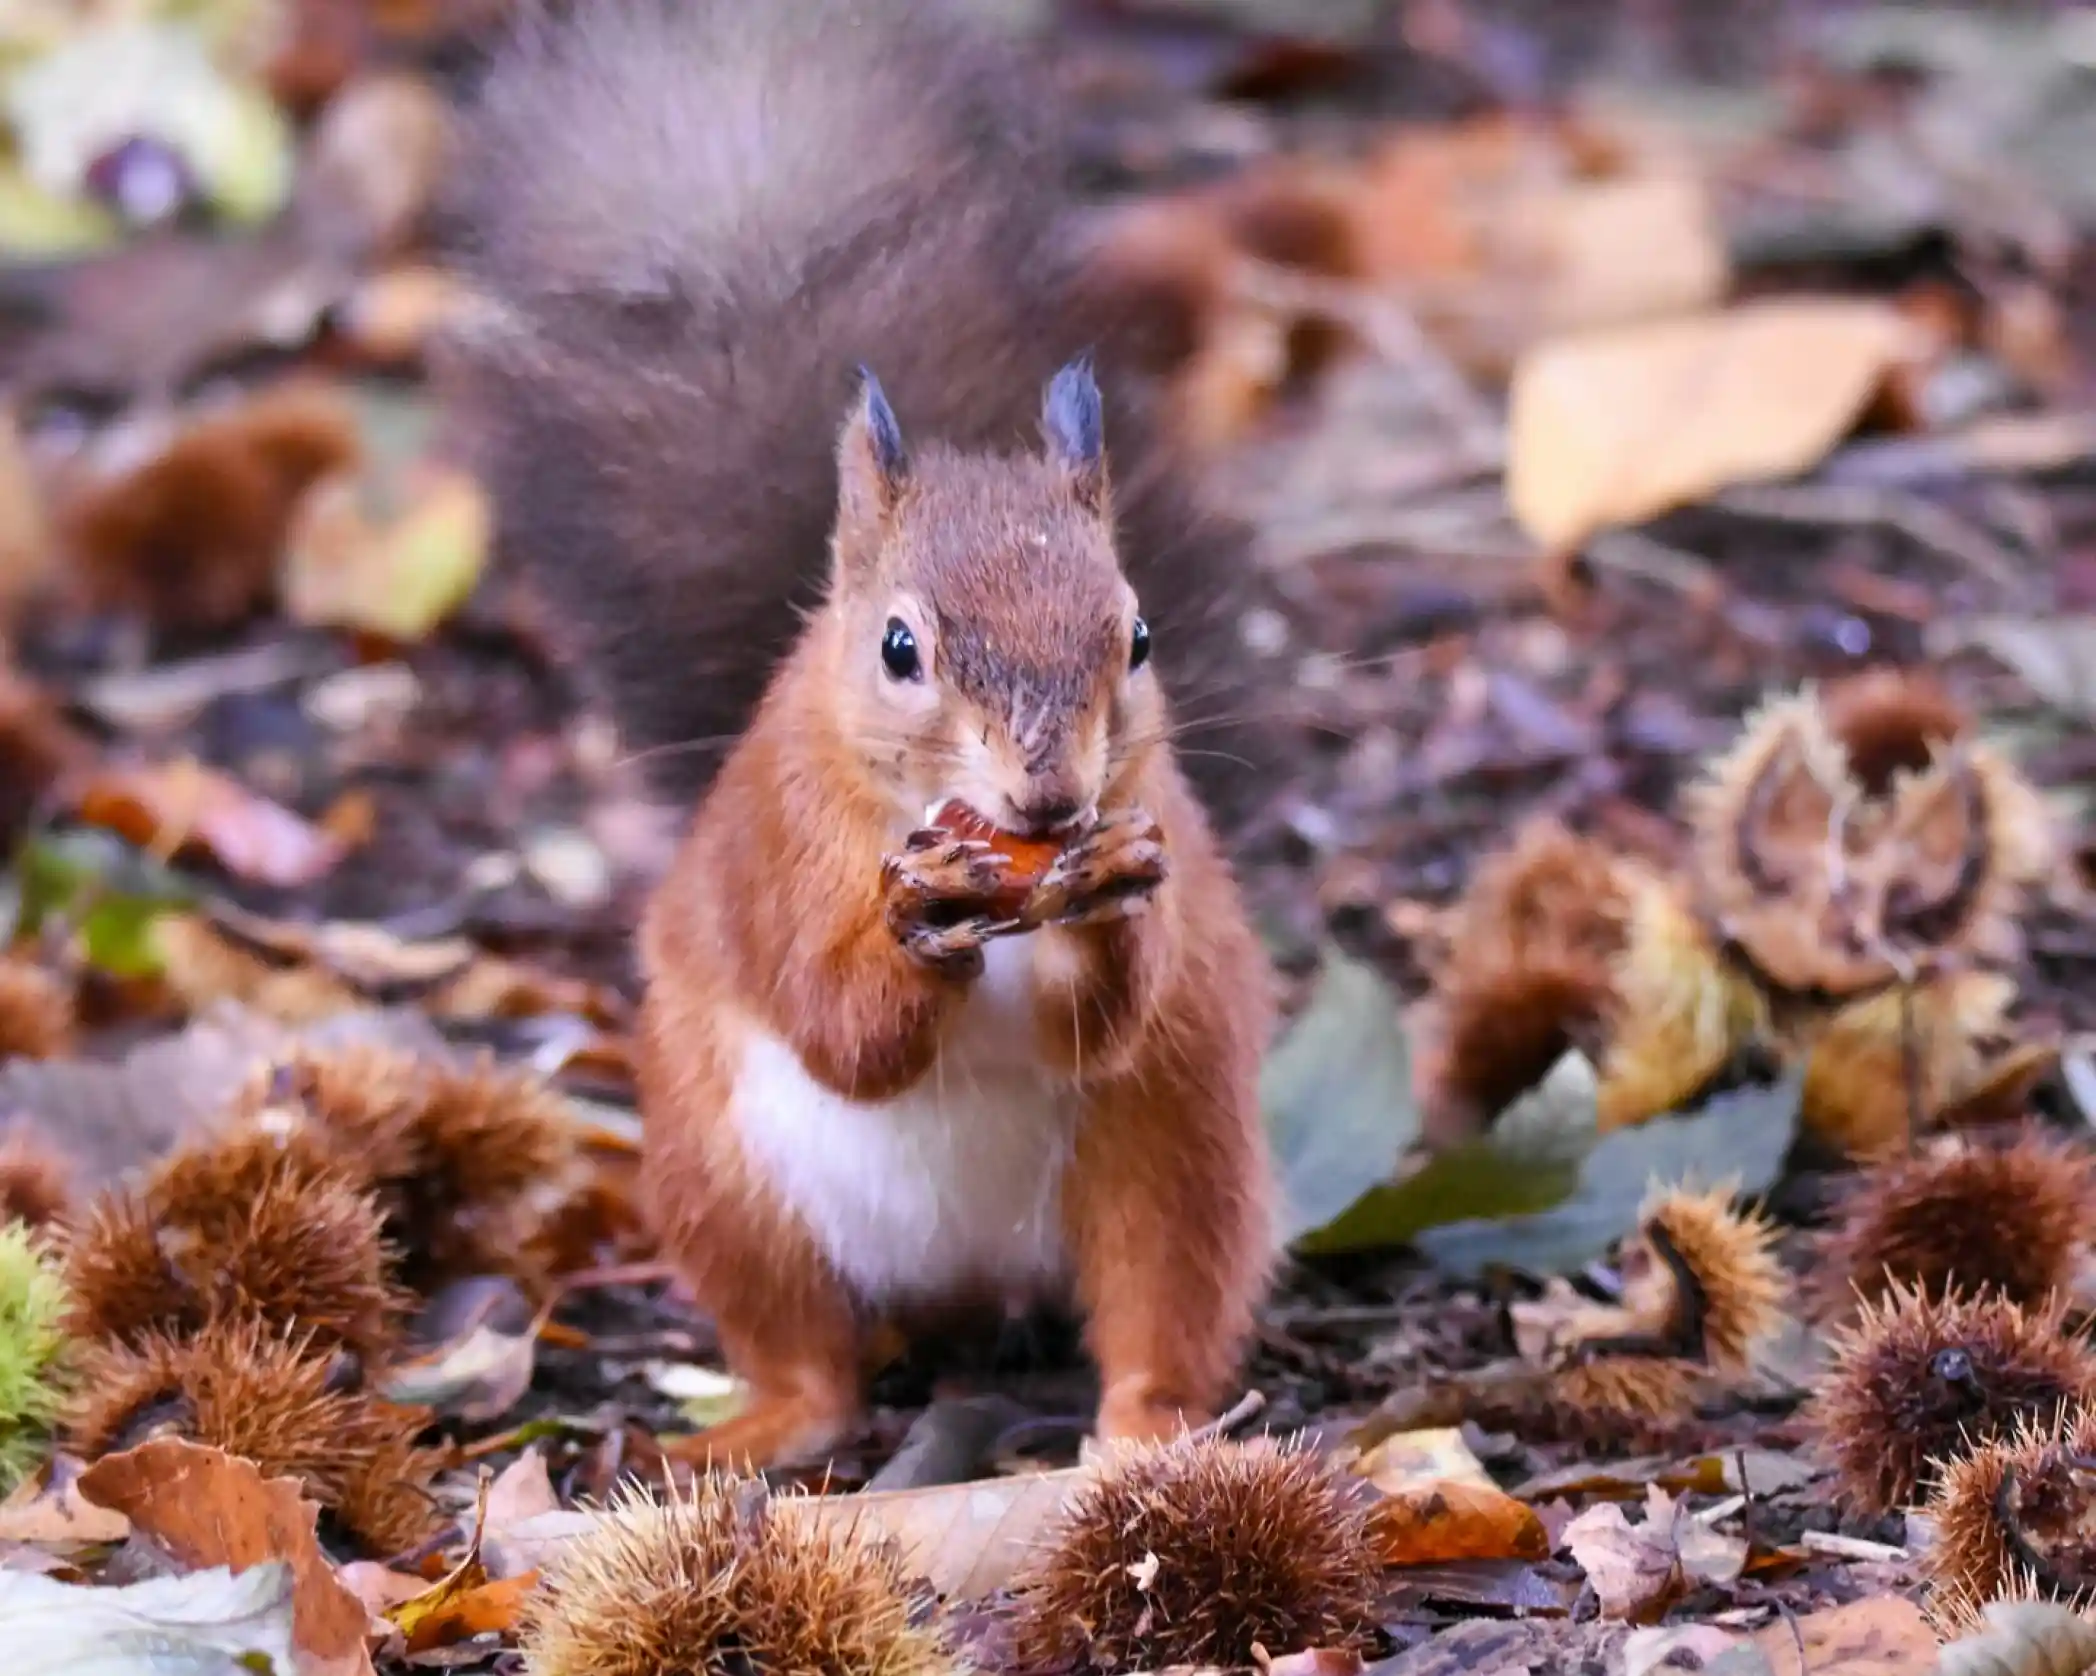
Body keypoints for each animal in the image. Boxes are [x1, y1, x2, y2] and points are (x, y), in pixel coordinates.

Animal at [441, 0, 1278, 1467]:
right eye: (899, 649)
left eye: (1137, 638)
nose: (1050, 801)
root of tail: (968, 1281)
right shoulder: (782, 847)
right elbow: (840, 1026)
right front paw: (914, 924)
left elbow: (1105, 1014)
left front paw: (1112, 890)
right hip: (724, 1182)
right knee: (811, 1365)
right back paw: (748, 1431)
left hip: (1174, 1154)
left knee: (1156, 1310)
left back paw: (1151, 1430)